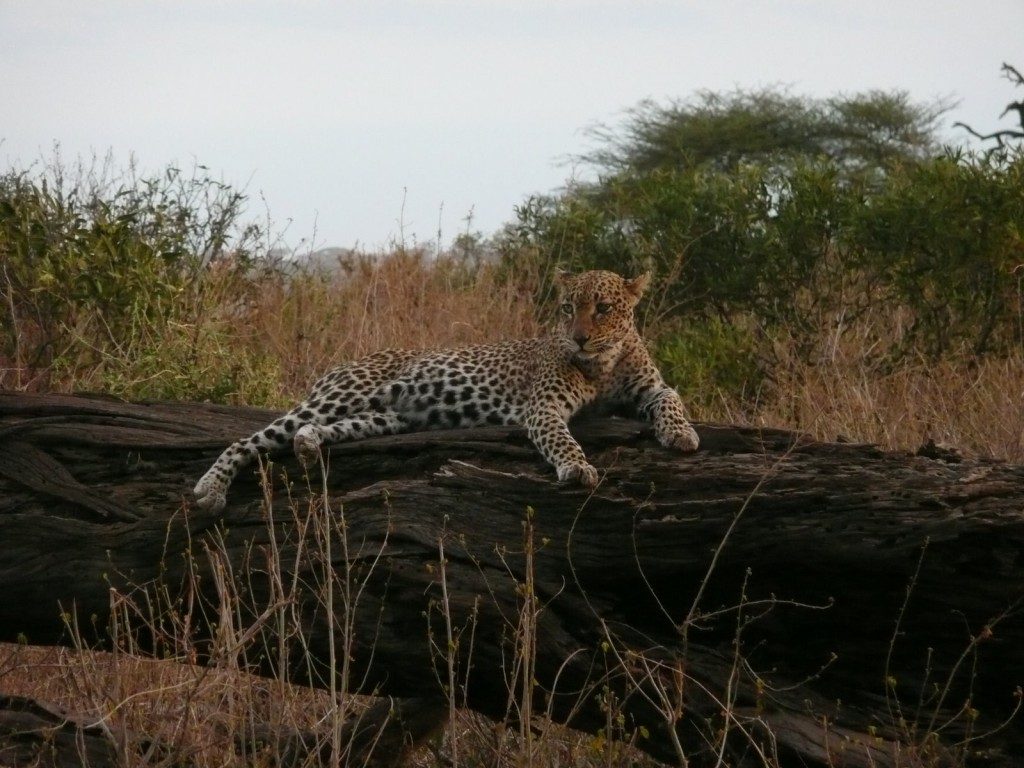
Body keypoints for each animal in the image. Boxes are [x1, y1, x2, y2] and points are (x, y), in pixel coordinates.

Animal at [193, 268, 696, 512]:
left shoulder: (651, 387)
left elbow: (671, 398)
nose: (578, 338)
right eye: (569, 307)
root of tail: (342, 365)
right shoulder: (543, 407)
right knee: (248, 440)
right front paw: (577, 468)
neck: (604, 363)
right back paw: (211, 489)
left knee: (321, 429)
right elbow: (561, 438)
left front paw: (682, 434)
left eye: (603, 308)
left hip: (387, 416)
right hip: (342, 394)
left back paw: (309, 445)